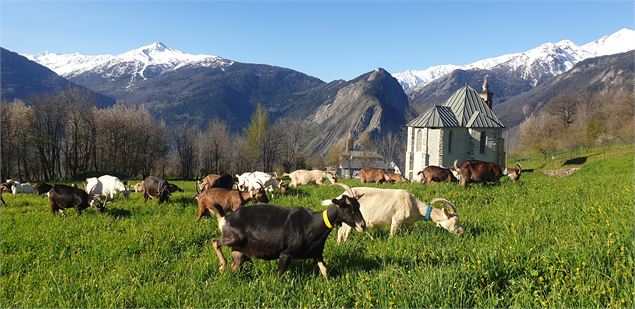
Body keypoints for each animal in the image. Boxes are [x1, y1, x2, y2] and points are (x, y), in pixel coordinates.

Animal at [211, 182, 366, 276]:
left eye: (358, 206)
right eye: (346, 207)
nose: (363, 225)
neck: (312, 224)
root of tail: (225, 218)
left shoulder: (317, 254)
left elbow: (324, 270)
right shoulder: (285, 254)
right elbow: (280, 273)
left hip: (239, 253)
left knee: (235, 266)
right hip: (233, 238)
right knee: (215, 241)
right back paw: (222, 265)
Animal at [326, 186, 464, 242]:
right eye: (454, 221)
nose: (461, 232)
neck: (414, 205)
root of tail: (340, 196)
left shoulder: (408, 224)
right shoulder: (397, 219)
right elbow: (392, 235)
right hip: (349, 221)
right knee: (343, 233)